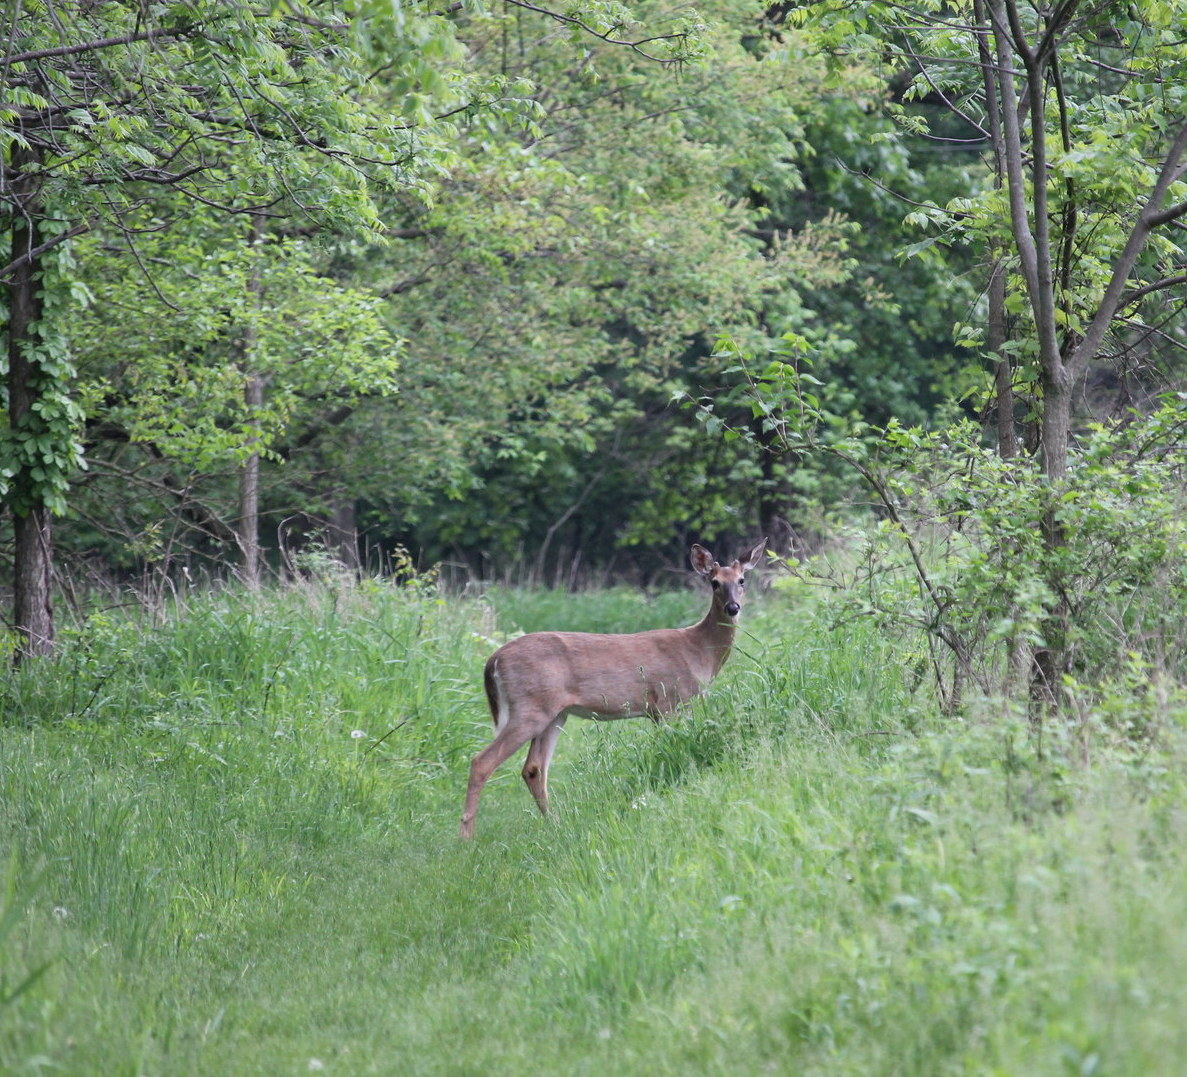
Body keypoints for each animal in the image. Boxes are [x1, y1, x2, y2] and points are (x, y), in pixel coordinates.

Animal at [459, 538, 767, 839]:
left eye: (742, 579)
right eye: (714, 582)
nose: (733, 608)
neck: (699, 651)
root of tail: (494, 658)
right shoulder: (669, 701)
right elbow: (673, 749)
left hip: (555, 713)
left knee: (533, 768)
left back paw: (557, 824)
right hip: (530, 706)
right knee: (482, 761)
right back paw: (466, 837)